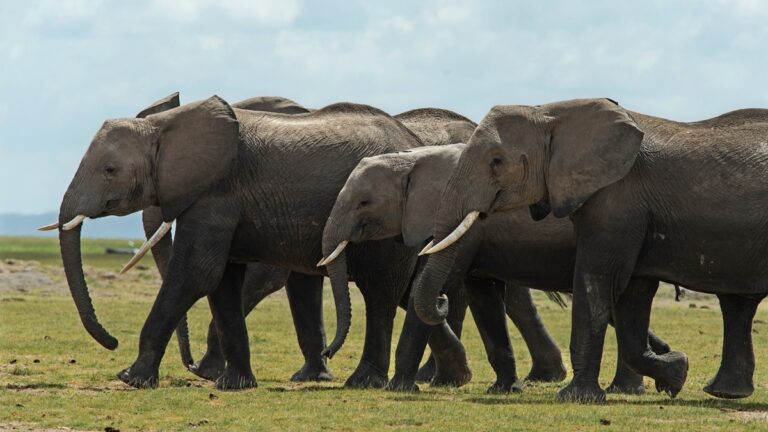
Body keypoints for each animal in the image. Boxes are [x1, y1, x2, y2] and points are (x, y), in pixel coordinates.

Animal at [53, 95, 474, 390]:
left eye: (110, 170)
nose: (111, 341)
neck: (165, 125)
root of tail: (411, 139)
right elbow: (222, 281)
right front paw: (233, 384)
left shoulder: (216, 196)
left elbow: (195, 274)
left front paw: (132, 378)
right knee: (410, 292)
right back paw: (450, 376)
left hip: (390, 224)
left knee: (381, 292)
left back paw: (366, 382)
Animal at [322, 143, 674, 394]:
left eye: (364, 203)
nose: (328, 353)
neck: (415, 159)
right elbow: (482, 296)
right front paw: (505, 389)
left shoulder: (466, 225)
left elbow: (435, 282)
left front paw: (400, 389)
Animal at [417, 98, 768, 402]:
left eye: (496, 161)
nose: (442, 300)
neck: (552, 112)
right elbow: (632, 297)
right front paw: (676, 374)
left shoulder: (617, 200)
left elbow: (595, 282)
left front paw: (575, 398)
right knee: (737, 304)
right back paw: (724, 393)